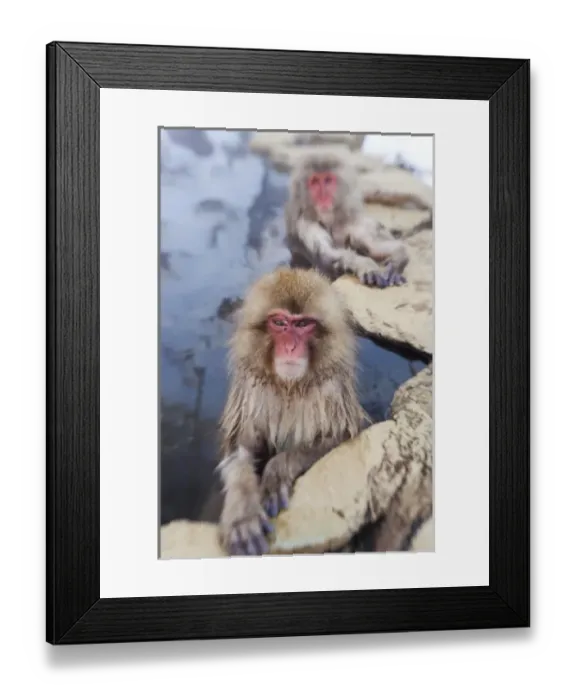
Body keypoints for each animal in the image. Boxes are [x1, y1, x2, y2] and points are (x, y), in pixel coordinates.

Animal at [216, 267, 369, 556]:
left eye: (302, 324)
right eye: (279, 323)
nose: (289, 347)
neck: (289, 386)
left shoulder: (332, 388)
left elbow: (340, 436)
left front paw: (276, 470)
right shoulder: (250, 386)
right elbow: (241, 446)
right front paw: (243, 513)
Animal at [284, 153, 410, 288]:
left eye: (328, 180)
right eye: (315, 182)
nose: (323, 197)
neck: (330, 219)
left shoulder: (350, 219)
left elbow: (371, 247)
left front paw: (398, 259)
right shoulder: (305, 224)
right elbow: (327, 256)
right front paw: (366, 265)